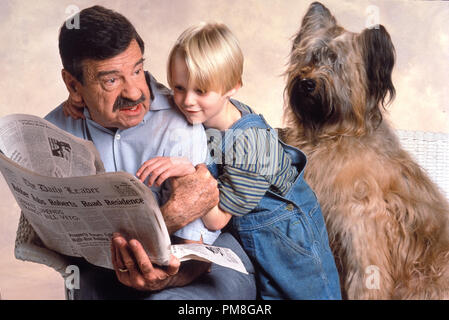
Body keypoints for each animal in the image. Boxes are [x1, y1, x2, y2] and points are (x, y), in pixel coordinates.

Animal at [278, 1, 448, 298]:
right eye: (311, 57)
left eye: (337, 63)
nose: (307, 83)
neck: (332, 134)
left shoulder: (362, 226)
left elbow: (365, 278)